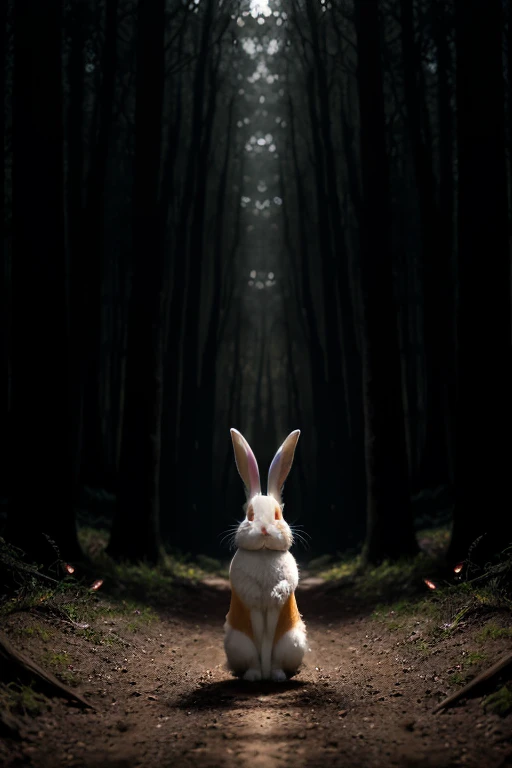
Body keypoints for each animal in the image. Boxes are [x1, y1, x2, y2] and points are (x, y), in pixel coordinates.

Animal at [224, 426, 308, 684]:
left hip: (291, 641)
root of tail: (265, 672)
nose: (263, 529)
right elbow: (248, 591)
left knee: (279, 663)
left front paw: (274, 594)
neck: (263, 552)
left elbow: (285, 586)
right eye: (250, 515)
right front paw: (258, 594)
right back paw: (253, 676)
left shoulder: (290, 576)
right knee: (250, 664)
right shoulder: (239, 580)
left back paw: (276, 676)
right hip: (239, 643)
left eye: (278, 514)